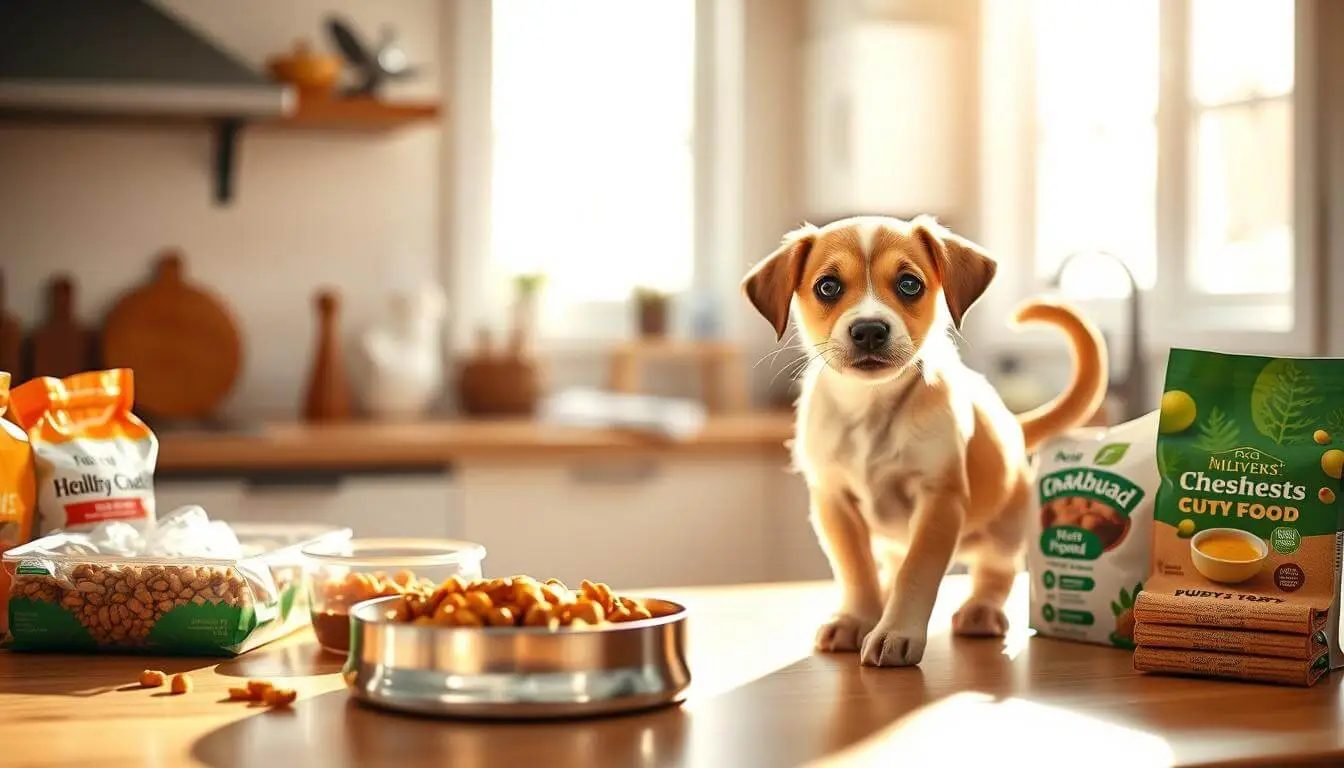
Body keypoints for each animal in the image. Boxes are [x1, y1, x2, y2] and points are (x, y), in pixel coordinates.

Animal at [747, 215, 1102, 667]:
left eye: (909, 284)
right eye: (827, 286)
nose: (868, 330)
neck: (871, 409)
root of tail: (1014, 425)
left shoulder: (938, 500)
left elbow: (915, 575)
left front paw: (895, 632)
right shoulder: (833, 501)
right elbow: (855, 569)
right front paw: (856, 617)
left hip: (1005, 529)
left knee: (996, 572)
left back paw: (980, 611)